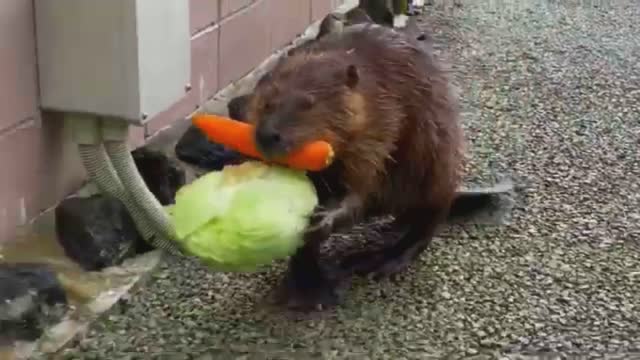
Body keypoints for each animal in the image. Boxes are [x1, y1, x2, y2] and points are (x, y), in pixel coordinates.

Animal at [242, 21, 462, 310]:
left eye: (308, 103)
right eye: (267, 102)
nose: (267, 135)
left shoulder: (383, 120)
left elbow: (362, 185)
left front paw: (323, 218)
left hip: (438, 163)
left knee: (427, 221)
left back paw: (380, 260)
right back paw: (310, 286)